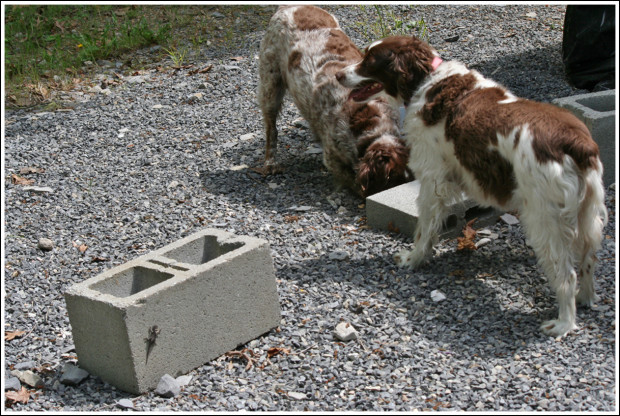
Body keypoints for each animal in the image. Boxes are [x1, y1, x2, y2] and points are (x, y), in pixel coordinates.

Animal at [256, 4, 412, 197]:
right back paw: (270, 163)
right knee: (271, 128)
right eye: (393, 181)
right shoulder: (332, 158)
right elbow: (354, 182)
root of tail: (291, 6)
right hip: (271, 83)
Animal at [336, 34, 608, 336]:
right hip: (587, 213)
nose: (338, 75)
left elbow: (424, 228)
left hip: (544, 219)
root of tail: (577, 143)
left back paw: (563, 323)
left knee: (566, 274)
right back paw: (585, 299)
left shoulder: (432, 178)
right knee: (588, 259)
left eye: (370, 60)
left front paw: (414, 259)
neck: (427, 81)